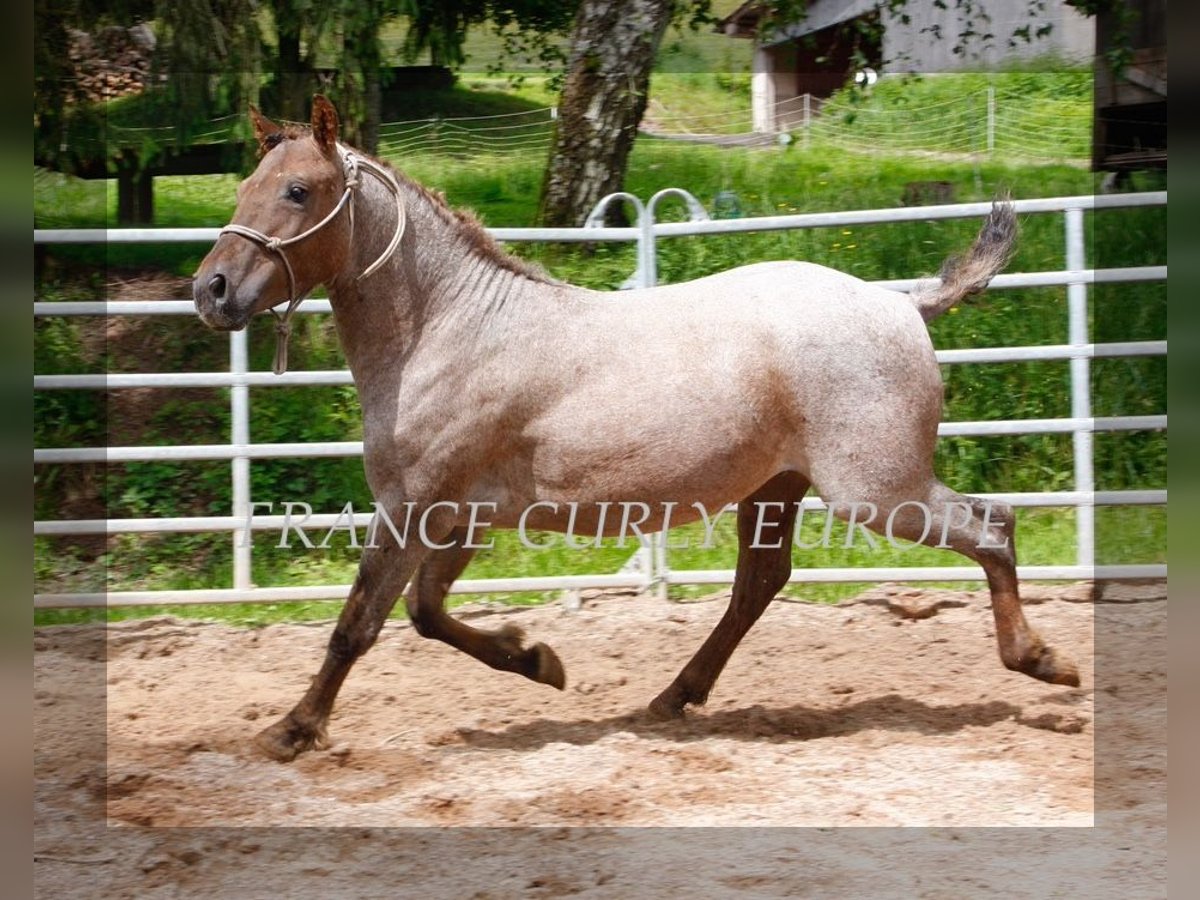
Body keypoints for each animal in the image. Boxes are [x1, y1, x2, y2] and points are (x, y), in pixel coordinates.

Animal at [194, 97, 1080, 763]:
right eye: (246, 183)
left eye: (299, 191)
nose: (212, 290)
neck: (448, 328)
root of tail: (902, 302)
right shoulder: (462, 516)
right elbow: (426, 614)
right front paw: (539, 661)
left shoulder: (414, 507)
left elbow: (359, 623)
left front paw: (291, 731)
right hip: (778, 489)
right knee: (760, 585)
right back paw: (673, 697)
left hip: (876, 491)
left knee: (992, 526)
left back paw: (1043, 662)